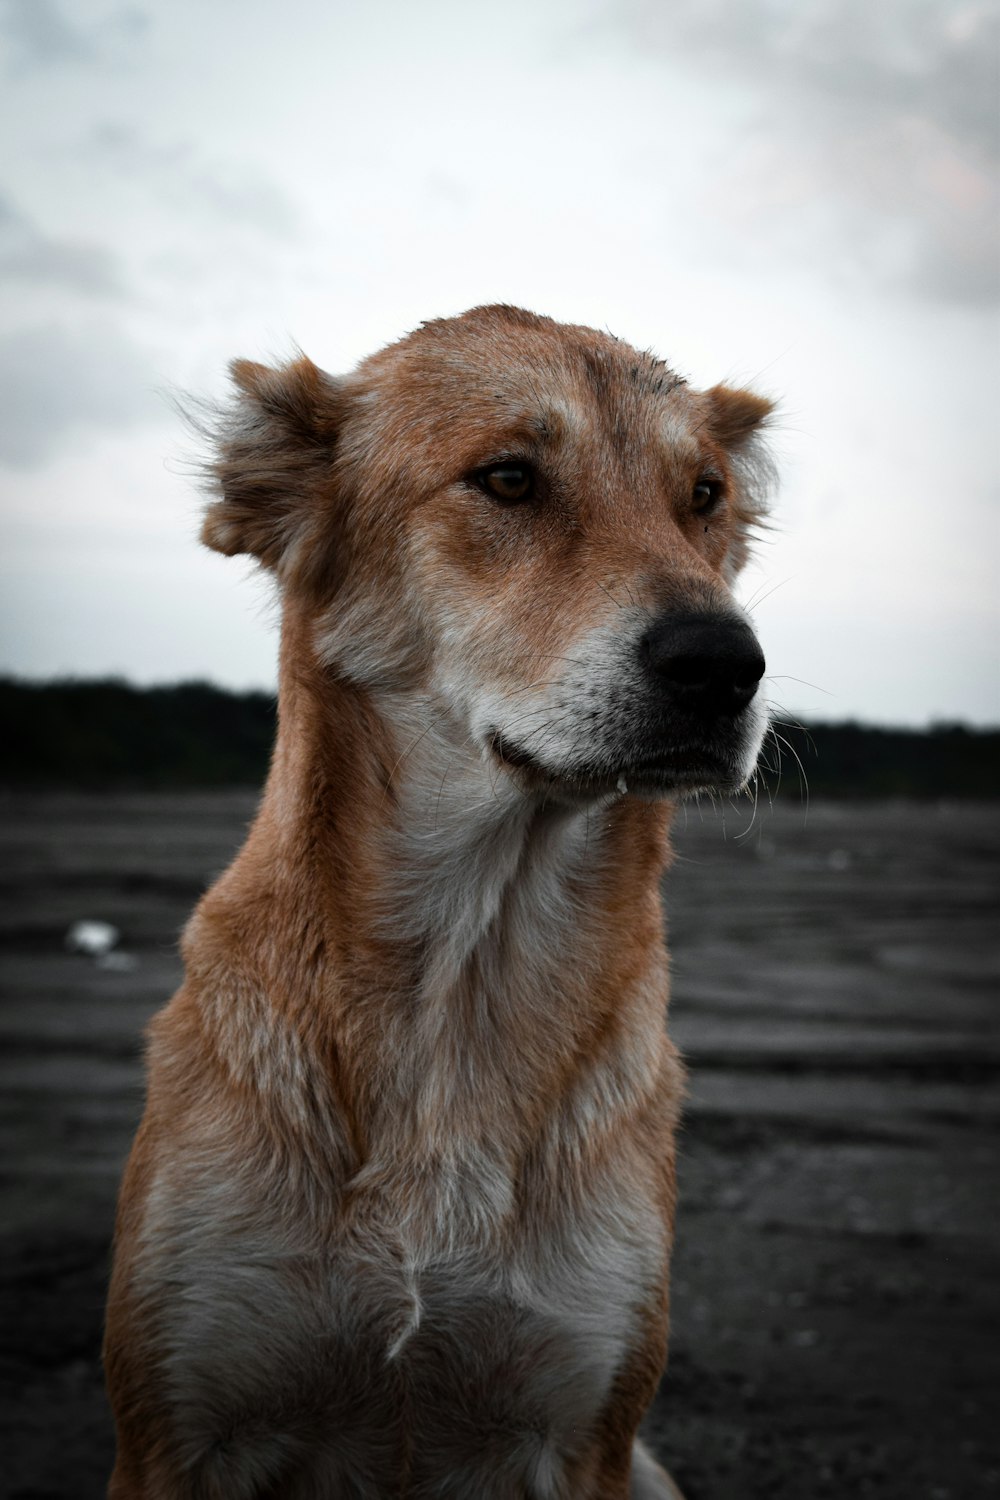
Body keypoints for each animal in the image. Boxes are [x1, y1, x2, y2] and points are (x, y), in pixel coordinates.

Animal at [103, 301, 773, 1488]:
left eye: (704, 495)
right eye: (507, 479)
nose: (725, 665)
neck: (465, 970)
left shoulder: (585, 1433)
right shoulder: (173, 1431)